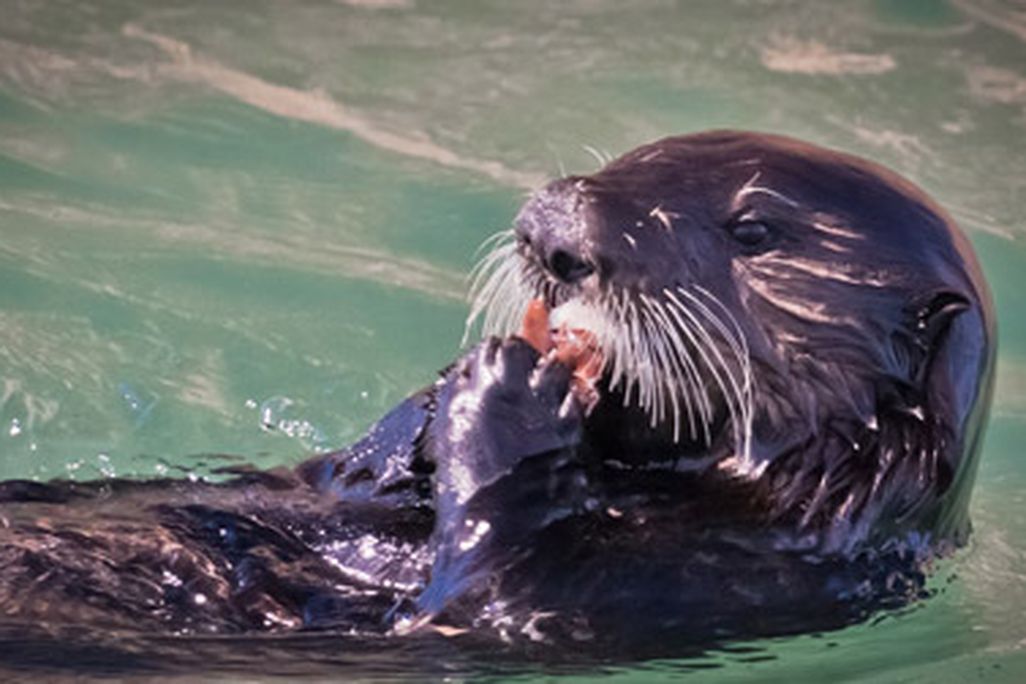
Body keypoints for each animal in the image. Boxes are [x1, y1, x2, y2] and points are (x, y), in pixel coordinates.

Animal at [0, 131, 994, 654]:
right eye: (631, 158)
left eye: (754, 230)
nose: (549, 232)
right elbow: (333, 475)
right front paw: (433, 400)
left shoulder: (712, 582)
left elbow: (485, 595)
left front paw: (504, 392)